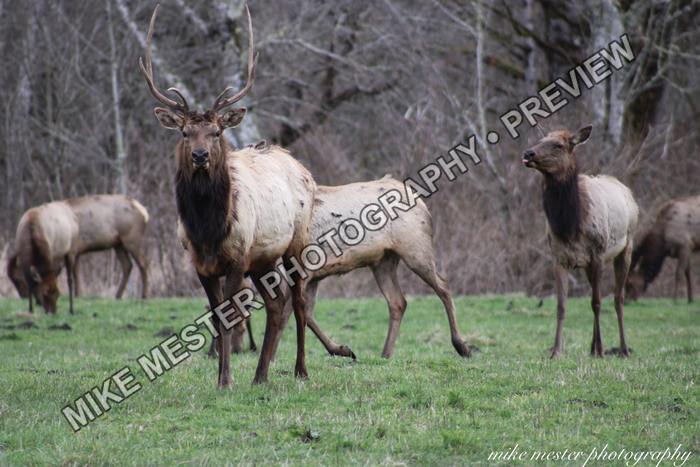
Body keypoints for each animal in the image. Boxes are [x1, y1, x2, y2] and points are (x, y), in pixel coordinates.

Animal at [8, 195, 149, 314]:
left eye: (18, 278)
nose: (23, 295)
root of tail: (144, 212)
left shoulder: (73, 249)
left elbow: (73, 273)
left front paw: (77, 295)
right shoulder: (76, 251)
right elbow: (75, 272)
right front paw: (78, 294)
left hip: (132, 239)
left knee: (143, 263)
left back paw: (144, 295)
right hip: (118, 244)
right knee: (127, 265)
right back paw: (118, 295)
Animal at [140, 4, 315, 387]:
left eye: (217, 131)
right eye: (185, 132)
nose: (200, 155)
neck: (208, 230)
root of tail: (301, 167)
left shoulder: (237, 257)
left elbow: (233, 315)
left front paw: (227, 379)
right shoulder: (201, 264)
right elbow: (217, 318)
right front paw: (223, 379)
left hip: (296, 242)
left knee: (297, 301)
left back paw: (300, 369)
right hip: (263, 259)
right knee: (277, 304)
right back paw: (261, 375)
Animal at [522, 126, 639, 358]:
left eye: (558, 145)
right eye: (541, 139)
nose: (528, 153)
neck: (569, 225)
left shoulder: (598, 255)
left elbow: (597, 303)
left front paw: (602, 350)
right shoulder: (559, 258)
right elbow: (561, 306)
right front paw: (556, 351)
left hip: (626, 246)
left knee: (618, 299)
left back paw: (622, 349)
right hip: (586, 264)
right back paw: (592, 348)